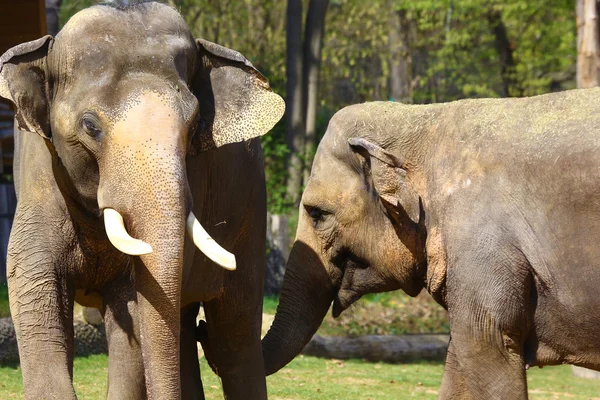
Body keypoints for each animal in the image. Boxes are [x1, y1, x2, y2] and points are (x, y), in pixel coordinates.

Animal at [0, 3, 284, 400]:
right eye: (90, 126)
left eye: (195, 126)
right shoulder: (37, 178)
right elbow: (35, 292)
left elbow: (133, 308)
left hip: (251, 206)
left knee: (234, 337)